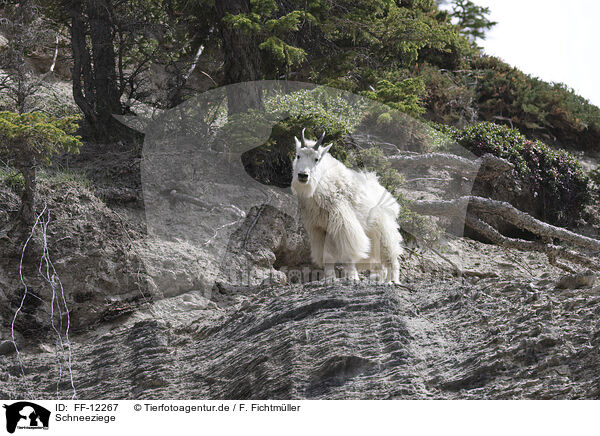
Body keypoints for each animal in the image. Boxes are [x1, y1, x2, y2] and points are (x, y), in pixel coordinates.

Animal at [290, 129, 404, 282]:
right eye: (298, 155)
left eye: (316, 159)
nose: (303, 176)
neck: (322, 185)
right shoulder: (319, 229)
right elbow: (327, 256)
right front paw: (329, 278)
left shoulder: (343, 224)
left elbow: (348, 253)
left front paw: (352, 276)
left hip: (383, 228)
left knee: (391, 256)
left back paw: (392, 281)